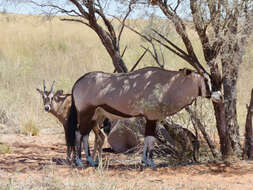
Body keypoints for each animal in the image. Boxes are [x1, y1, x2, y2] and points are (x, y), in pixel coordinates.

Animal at [65, 66, 221, 168]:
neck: (168, 84)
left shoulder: (152, 118)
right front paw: (151, 162)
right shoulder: (151, 117)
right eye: (206, 80)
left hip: (95, 115)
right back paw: (79, 162)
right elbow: (151, 139)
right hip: (86, 113)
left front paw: (144, 161)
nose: (219, 96)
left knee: (84, 134)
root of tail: (78, 82)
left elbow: (148, 138)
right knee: (79, 133)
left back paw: (91, 161)